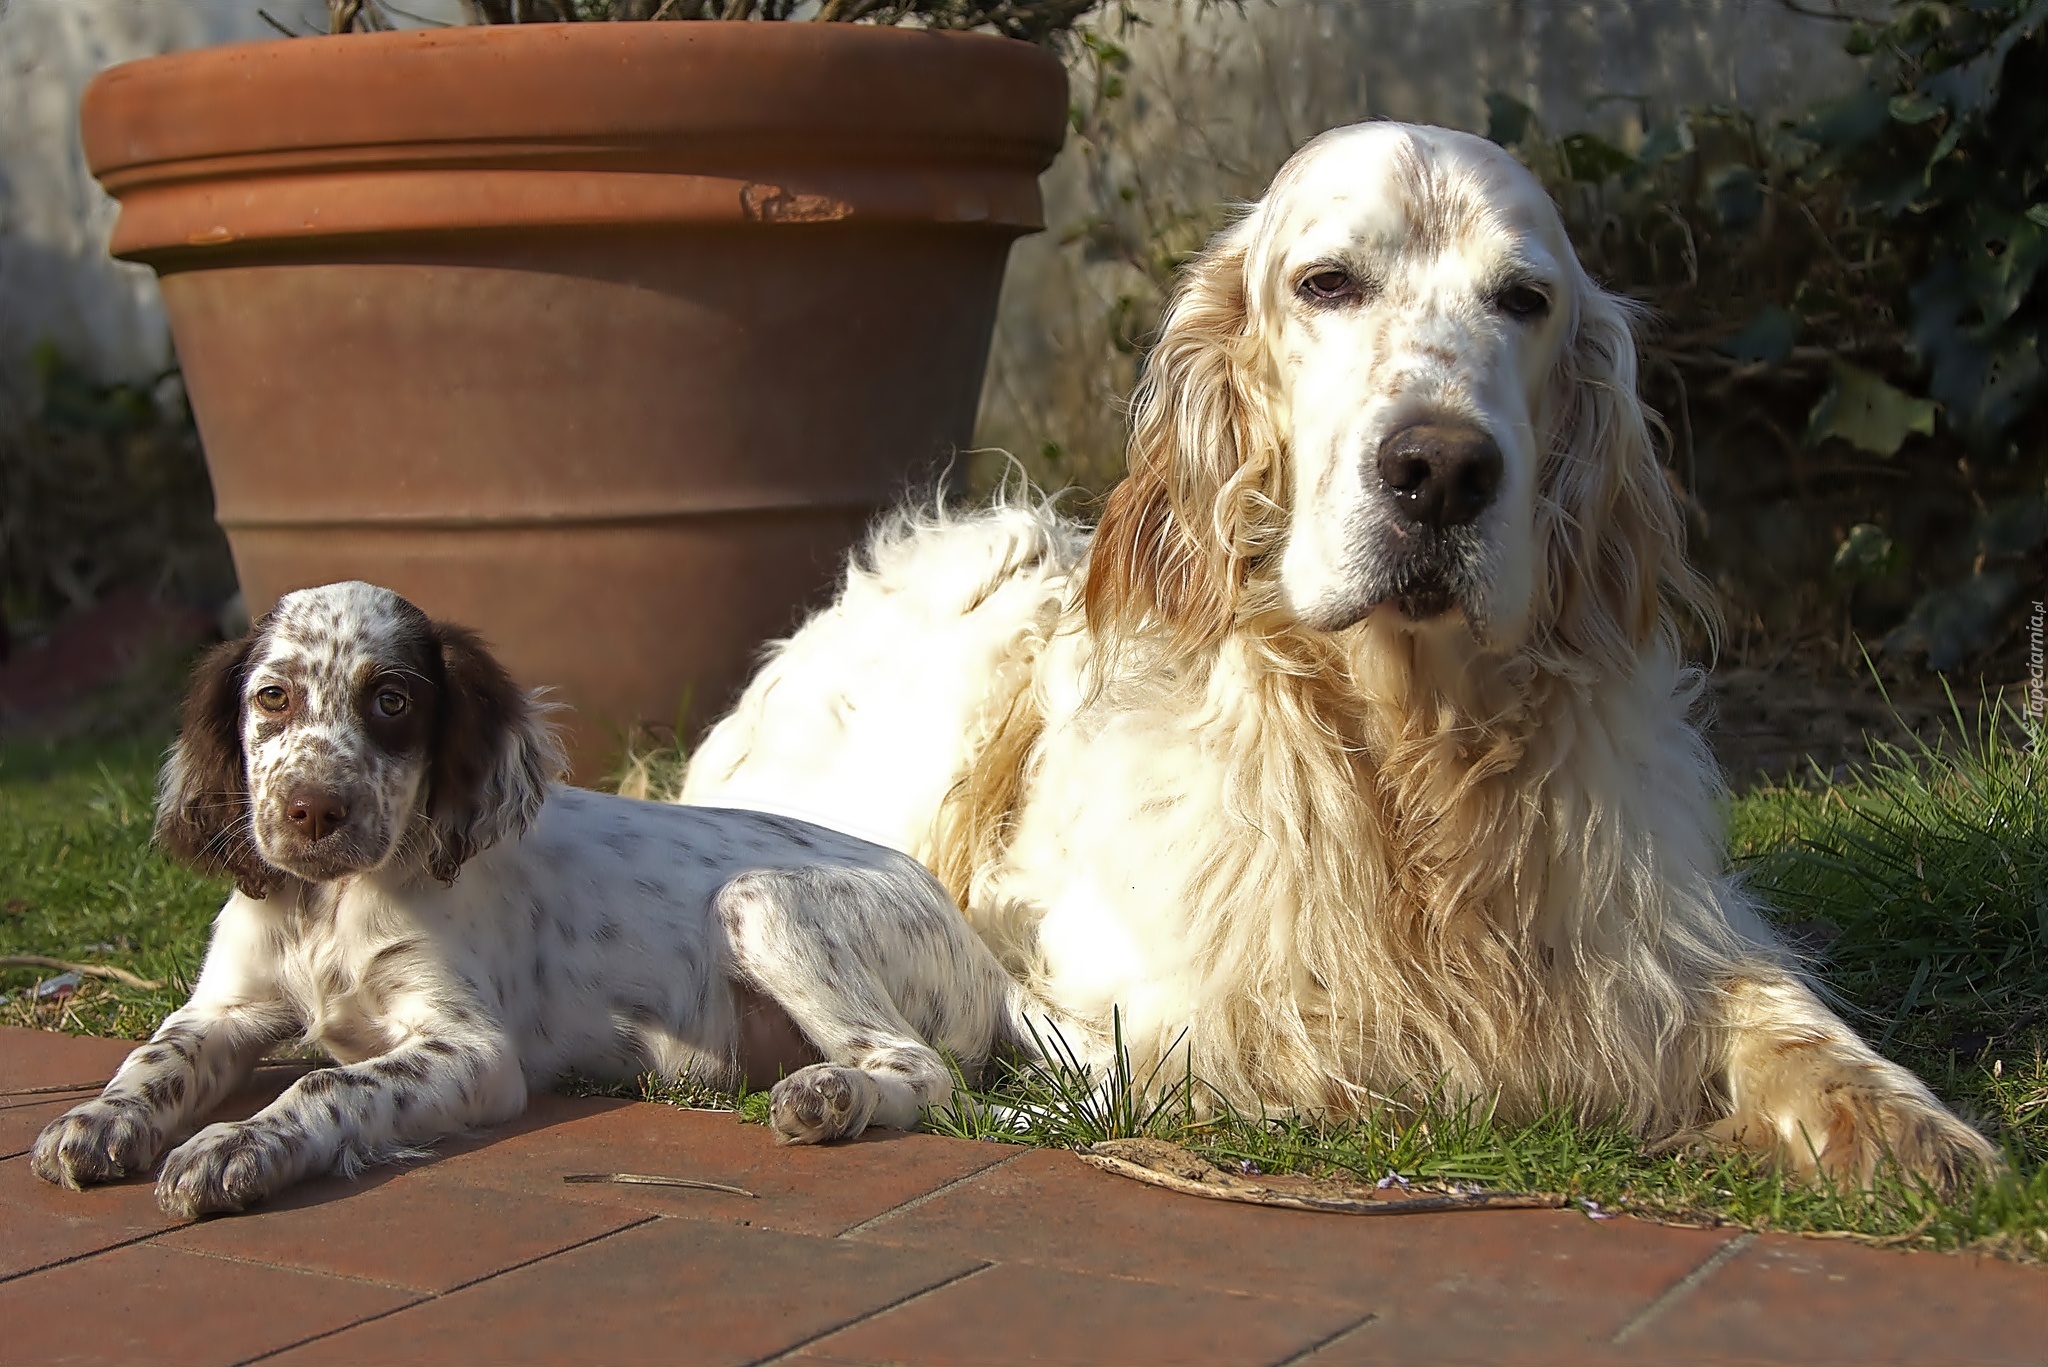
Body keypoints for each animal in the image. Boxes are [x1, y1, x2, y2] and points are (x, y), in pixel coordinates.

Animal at [36, 582, 1040, 1221]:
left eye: (391, 700)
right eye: (272, 697)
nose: (312, 810)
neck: (331, 906)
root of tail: (982, 952)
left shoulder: (473, 1051)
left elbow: (326, 1079)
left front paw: (232, 1147)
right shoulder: (226, 1004)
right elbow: (152, 1055)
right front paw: (94, 1122)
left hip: (758, 900)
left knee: (923, 1070)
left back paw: (831, 1095)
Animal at [679, 122, 1990, 1188]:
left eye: (1523, 298)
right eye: (1325, 283)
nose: (1441, 468)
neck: (1407, 744)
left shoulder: (1658, 930)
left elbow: (1783, 1013)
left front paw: (1909, 1125)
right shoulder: (1146, 1005)